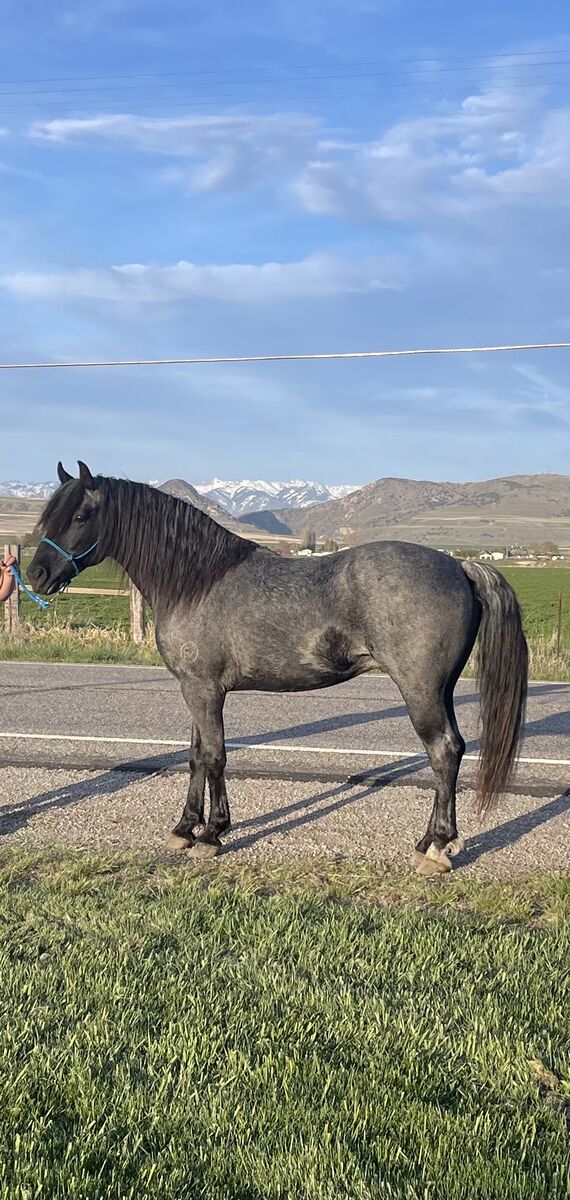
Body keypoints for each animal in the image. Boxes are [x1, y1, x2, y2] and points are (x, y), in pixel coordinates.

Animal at [28, 461, 528, 876]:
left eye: (80, 516)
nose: (35, 575)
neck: (196, 581)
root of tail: (459, 565)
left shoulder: (204, 691)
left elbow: (215, 756)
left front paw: (213, 834)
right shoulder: (194, 689)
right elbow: (195, 756)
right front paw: (185, 828)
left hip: (420, 691)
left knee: (443, 752)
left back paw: (438, 849)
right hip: (441, 689)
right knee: (454, 750)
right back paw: (430, 841)